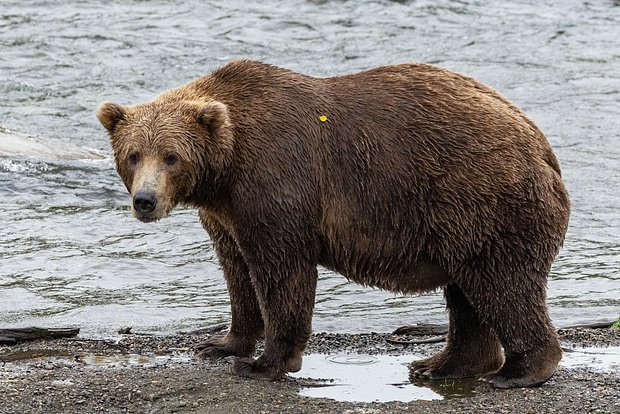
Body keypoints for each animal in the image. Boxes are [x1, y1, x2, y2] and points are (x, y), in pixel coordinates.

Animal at [98, 59, 572, 388]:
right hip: (461, 223)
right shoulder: (225, 213)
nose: (145, 201)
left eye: (171, 156)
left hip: (481, 198)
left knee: (501, 285)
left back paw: (517, 372)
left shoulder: (277, 182)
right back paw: (441, 365)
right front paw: (219, 343)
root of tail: (543, 147)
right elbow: (236, 271)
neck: (226, 169)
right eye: (133, 154)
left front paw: (263, 363)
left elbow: (281, 271)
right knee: (468, 292)